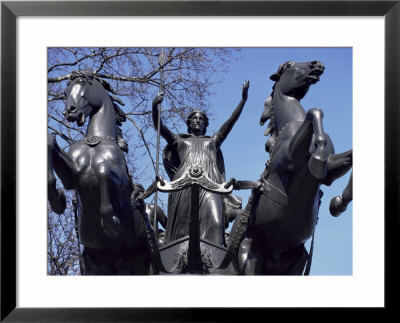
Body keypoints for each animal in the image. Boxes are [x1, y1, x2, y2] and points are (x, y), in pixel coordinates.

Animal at [48, 71, 152, 276]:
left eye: (82, 83)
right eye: (65, 92)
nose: (69, 112)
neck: (96, 141)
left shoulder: (120, 180)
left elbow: (103, 171)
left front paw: (111, 224)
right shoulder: (73, 176)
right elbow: (50, 142)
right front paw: (58, 200)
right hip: (96, 265)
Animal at [239, 61, 352, 276]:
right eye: (290, 65)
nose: (318, 64)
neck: (292, 123)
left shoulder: (330, 172)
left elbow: (349, 158)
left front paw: (338, 204)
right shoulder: (292, 159)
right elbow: (314, 111)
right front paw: (317, 157)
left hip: (298, 262)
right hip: (248, 257)